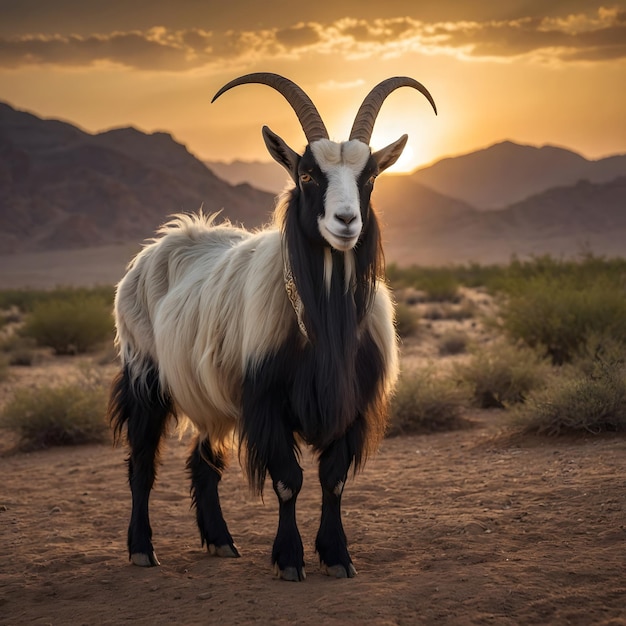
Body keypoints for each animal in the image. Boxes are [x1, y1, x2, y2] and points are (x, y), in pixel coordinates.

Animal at [108, 73, 434, 580]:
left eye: (370, 177)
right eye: (307, 174)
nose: (346, 221)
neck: (324, 328)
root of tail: (160, 246)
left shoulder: (350, 406)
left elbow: (333, 481)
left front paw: (338, 557)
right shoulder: (267, 400)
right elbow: (288, 481)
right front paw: (289, 560)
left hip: (210, 395)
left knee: (203, 460)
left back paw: (221, 541)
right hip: (146, 377)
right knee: (142, 461)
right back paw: (143, 549)